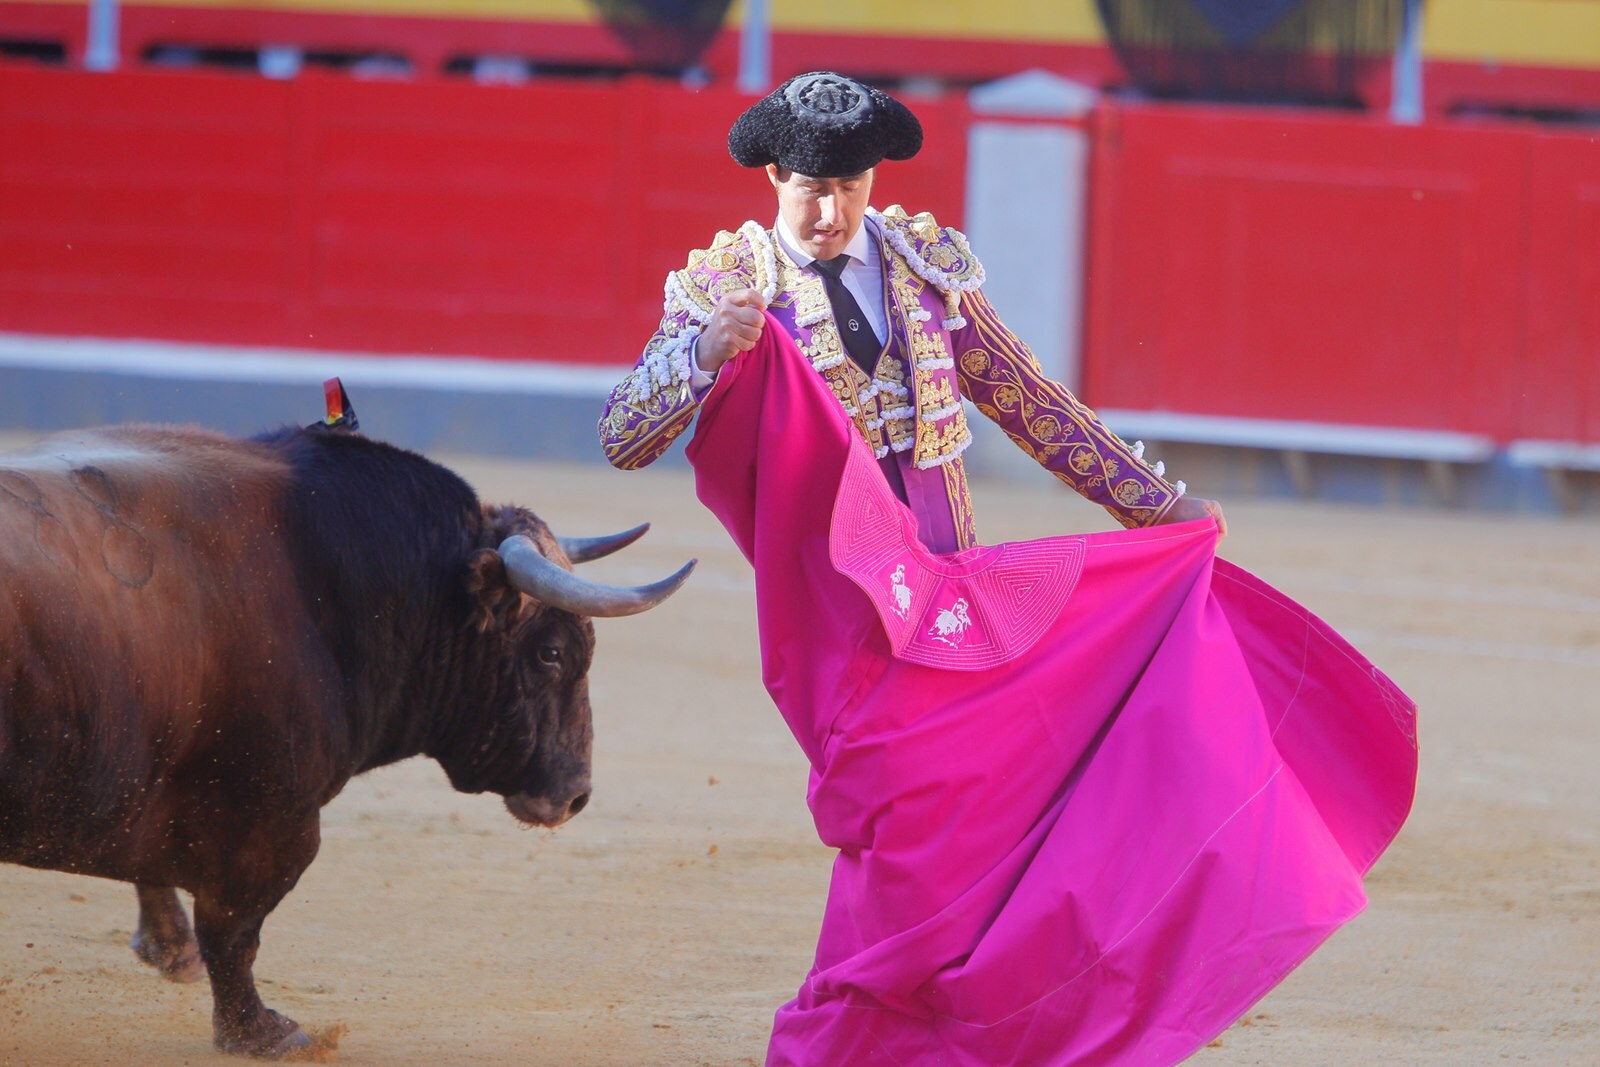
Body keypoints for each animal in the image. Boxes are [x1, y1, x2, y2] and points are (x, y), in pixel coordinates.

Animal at [0, 415, 684, 1049]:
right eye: (550, 653)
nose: (574, 796)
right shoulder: (270, 819)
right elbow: (234, 931)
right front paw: (264, 1034)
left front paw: (174, 953)